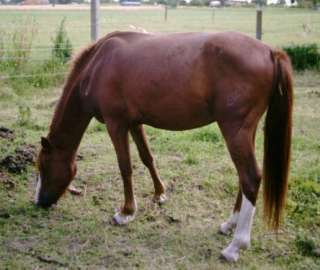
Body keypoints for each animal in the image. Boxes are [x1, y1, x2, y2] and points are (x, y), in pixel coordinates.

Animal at [35, 31, 292, 262]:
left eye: (43, 167)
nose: (39, 202)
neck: (98, 66)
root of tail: (270, 52)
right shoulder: (134, 123)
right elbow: (146, 157)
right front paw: (159, 194)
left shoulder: (116, 124)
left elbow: (125, 166)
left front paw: (126, 212)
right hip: (246, 133)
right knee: (243, 177)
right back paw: (230, 224)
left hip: (234, 131)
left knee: (250, 178)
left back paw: (235, 246)